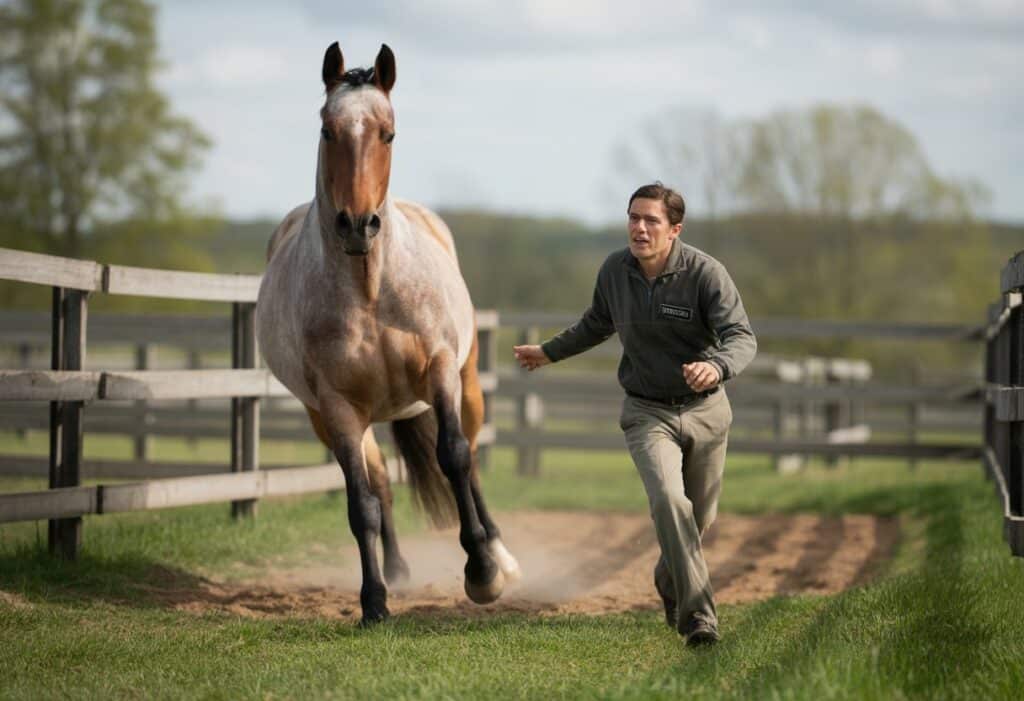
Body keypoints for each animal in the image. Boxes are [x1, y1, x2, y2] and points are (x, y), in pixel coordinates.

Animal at [256, 42, 520, 625]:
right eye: (328, 130)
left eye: (389, 133)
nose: (358, 225)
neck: (371, 291)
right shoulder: (336, 409)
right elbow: (361, 503)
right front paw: (373, 601)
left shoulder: (440, 372)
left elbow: (454, 457)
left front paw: (482, 572)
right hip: (338, 418)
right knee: (379, 484)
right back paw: (396, 570)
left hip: (467, 385)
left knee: (469, 458)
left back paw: (500, 553)